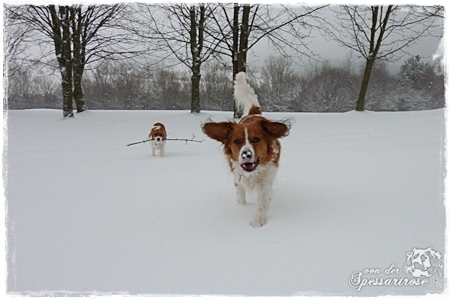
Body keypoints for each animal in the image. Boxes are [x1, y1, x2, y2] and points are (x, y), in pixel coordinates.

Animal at [202, 72, 290, 227]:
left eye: (256, 140)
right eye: (237, 141)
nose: (246, 154)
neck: (252, 173)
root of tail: (254, 113)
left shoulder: (266, 181)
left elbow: (262, 203)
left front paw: (257, 224)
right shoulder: (237, 177)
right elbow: (241, 196)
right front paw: (241, 208)